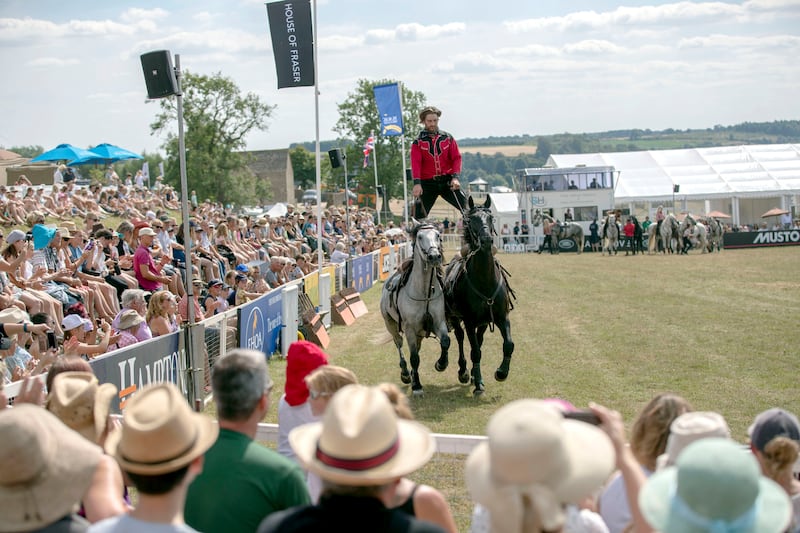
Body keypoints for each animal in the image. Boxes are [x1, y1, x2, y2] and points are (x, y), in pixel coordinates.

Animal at [440, 195, 516, 394]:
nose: (487, 240)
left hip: (483, 323)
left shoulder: (501, 317)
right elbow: (474, 351)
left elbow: (508, 345)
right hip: (456, 319)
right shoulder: (469, 321)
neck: (485, 281)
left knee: (479, 340)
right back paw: (464, 371)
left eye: (491, 218)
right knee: (460, 339)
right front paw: (478, 383)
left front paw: (501, 373)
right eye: (471, 220)